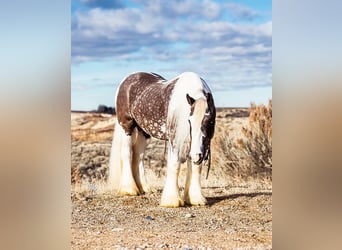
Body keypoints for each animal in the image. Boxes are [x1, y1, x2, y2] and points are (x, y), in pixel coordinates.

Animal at [109, 71, 216, 207]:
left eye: (210, 121)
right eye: (189, 121)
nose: (197, 154)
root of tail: (126, 80)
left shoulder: (197, 144)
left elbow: (196, 167)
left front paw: (195, 198)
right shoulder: (175, 139)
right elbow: (175, 165)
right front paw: (172, 200)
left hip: (143, 132)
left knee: (139, 157)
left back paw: (144, 188)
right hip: (127, 127)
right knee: (127, 154)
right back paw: (129, 189)